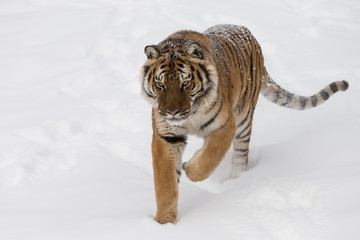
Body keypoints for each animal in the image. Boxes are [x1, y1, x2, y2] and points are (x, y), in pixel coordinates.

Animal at [141, 23, 348, 223]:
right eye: (160, 84)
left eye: (185, 83)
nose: (172, 112)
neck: (190, 115)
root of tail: (248, 34)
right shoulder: (166, 136)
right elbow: (166, 185)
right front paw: (165, 223)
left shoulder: (226, 124)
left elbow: (210, 156)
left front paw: (190, 168)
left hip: (244, 119)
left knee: (240, 157)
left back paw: (236, 183)